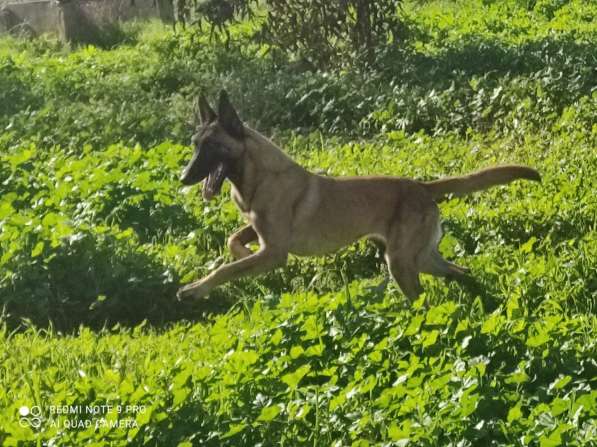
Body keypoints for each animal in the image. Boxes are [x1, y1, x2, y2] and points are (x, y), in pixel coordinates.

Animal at [175, 90, 536, 300]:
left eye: (212, 146)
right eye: (194, 145)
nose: (183, 178)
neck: (256, 174)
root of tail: (422, 186)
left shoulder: (274, 252)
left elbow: (225, 270)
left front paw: (194, 289)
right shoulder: (262, 235)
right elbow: (234, 240)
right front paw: (239, 253)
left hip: (400, 262)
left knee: (420, 297)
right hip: (419, 257)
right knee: (459, 272)